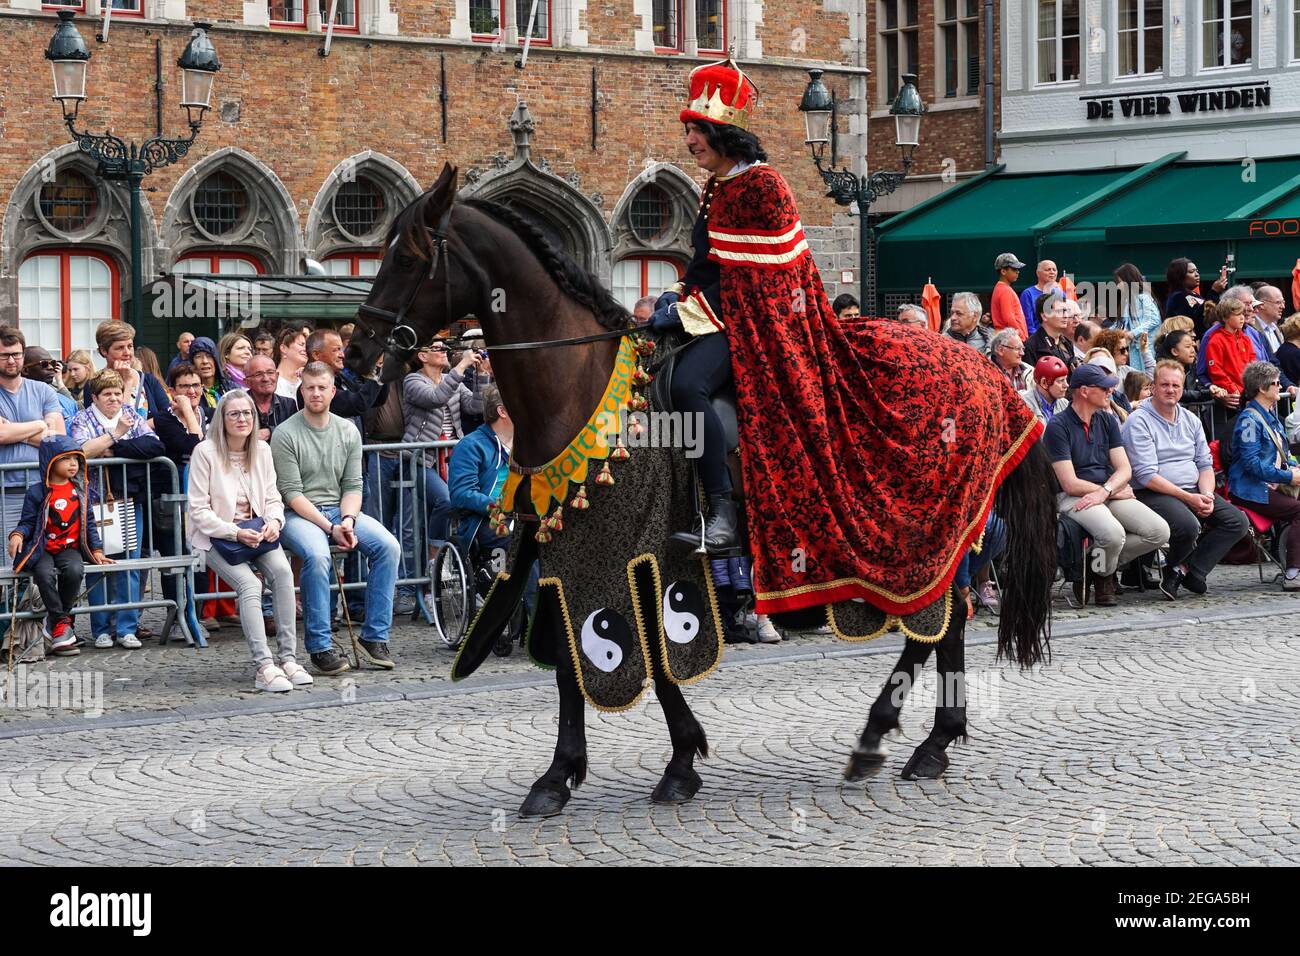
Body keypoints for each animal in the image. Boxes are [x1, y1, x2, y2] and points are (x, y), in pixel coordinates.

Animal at [348, 162, 1055, 816]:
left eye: (408, 256)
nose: (358, 355)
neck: (578, 381)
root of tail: (983, 367)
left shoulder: (628, 551)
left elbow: (644, 657)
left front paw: (663, 764)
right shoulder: (566, 548)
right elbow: (578, 660)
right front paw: (567, 774)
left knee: (939, 622)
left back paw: (893, 739)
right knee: (945, 622)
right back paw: (926, 740)